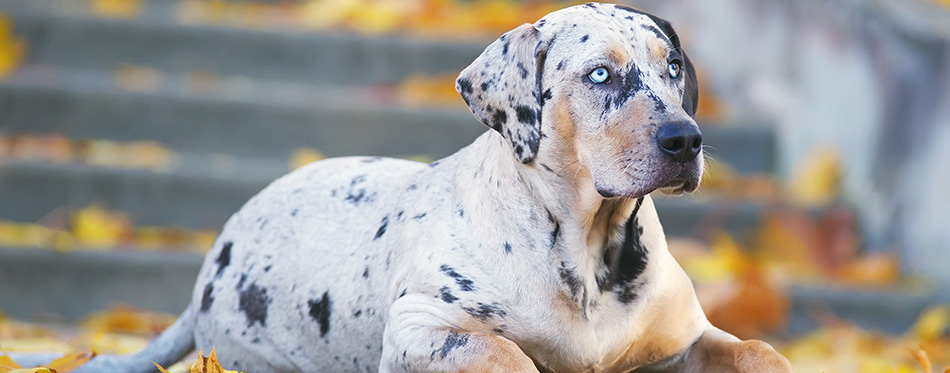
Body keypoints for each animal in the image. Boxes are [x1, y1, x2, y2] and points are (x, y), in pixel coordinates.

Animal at [11, 2, 792, 372]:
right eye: (600, 74)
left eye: (672, 67)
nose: (685, 140)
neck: (588, 253)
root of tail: (212, 262)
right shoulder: (423, 327)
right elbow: (505, 351)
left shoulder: (685, 336)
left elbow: (763, 351)